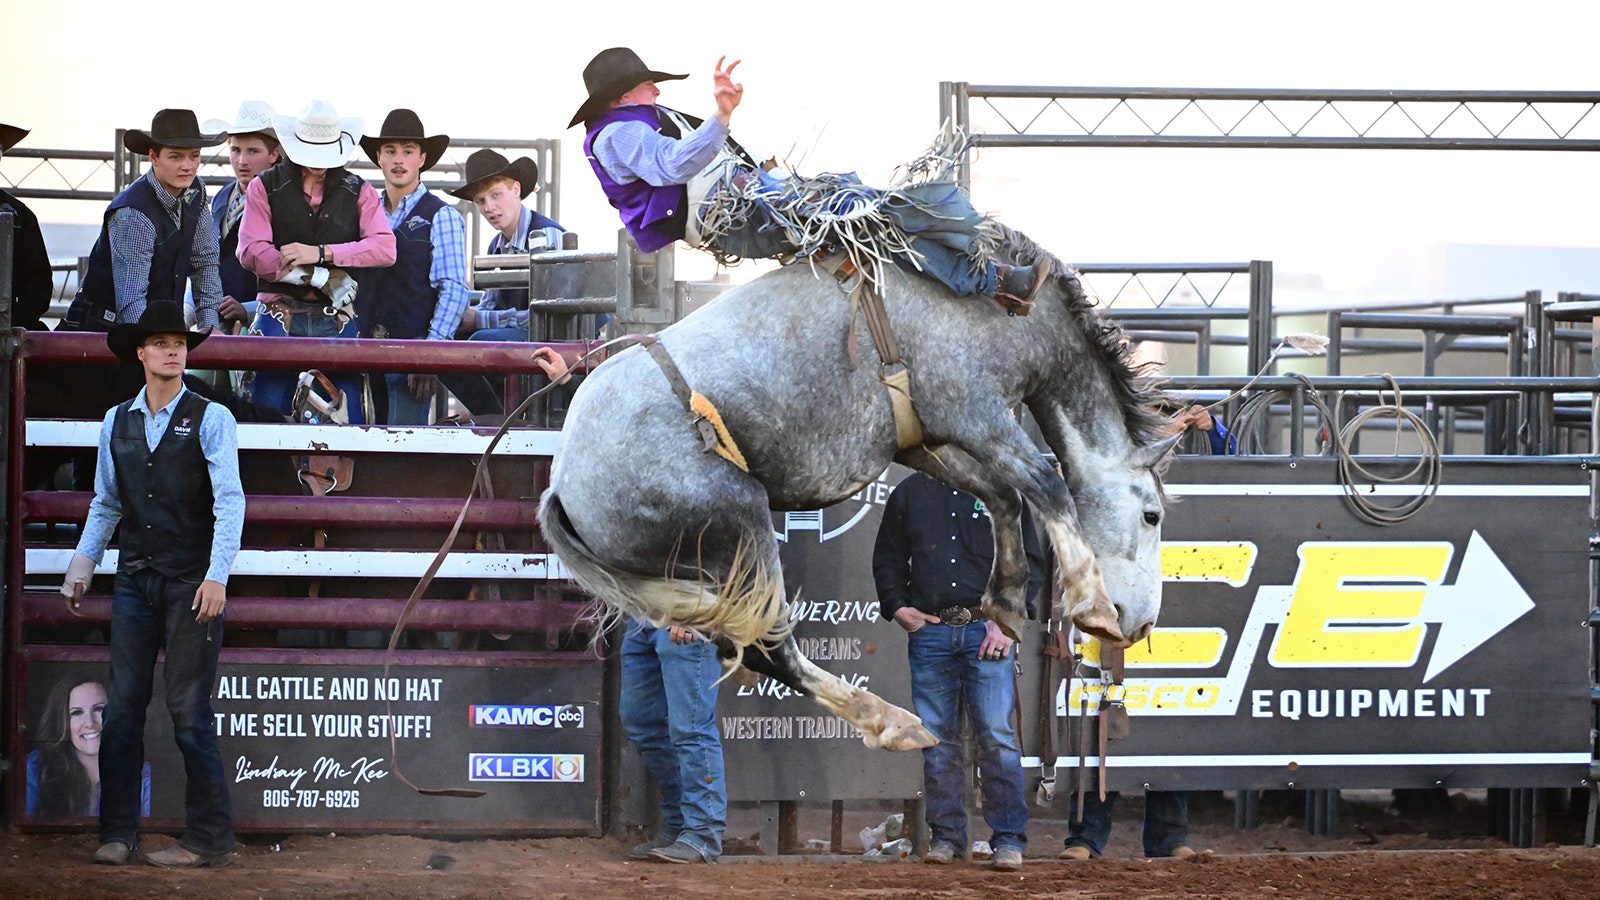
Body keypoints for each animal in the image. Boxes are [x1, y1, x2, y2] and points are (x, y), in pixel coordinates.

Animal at [537, 225, 1177, 749]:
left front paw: (1006, 599)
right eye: (1152, 515)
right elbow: (1045, 485)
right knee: (774, 652)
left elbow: (1001, 495)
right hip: (740, 521)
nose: (1144, 625)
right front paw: (1093, 604)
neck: (1010, 312)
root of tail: (562, 486)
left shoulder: (925, 440)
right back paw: (893, 723)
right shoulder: (975, 411)